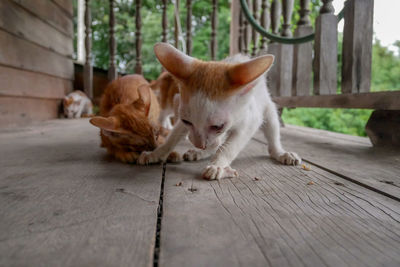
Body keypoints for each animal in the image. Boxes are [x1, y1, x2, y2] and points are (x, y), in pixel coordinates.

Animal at [138, 43, 300, 180]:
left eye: (217, 126)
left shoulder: (250, 121)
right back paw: (199, 153)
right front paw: (157, 153)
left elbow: (230, 146)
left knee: (271, 132)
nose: (199, 145)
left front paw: (218, 165)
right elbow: (173, 137)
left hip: (268, 110)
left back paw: (281, 153)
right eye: (186, 121)